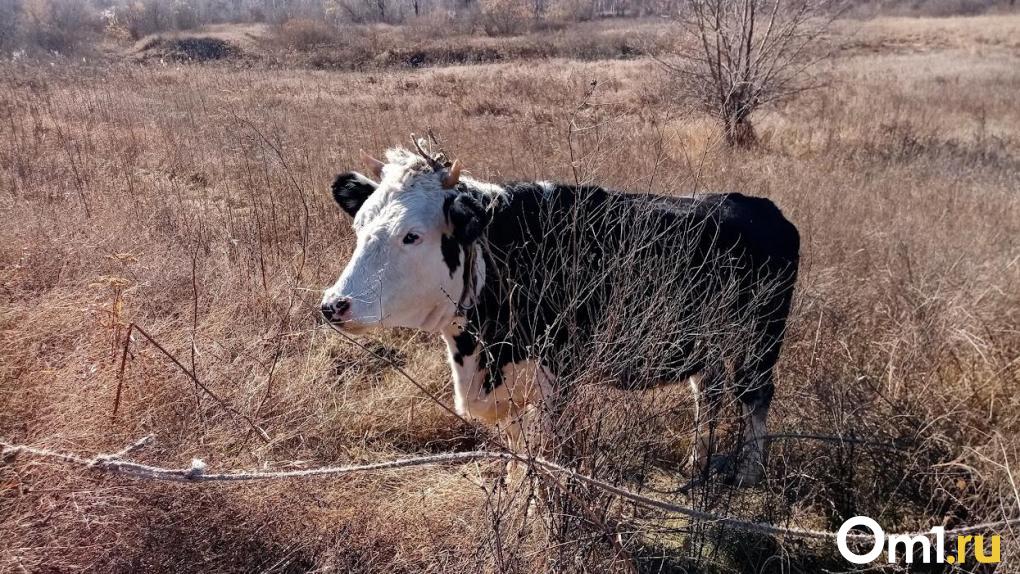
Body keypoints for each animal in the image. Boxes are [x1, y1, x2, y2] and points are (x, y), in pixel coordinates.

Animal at [322, 142, 799, 485]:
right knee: (708, 394)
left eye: (412, 236)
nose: (333, 304)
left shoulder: (557, 377)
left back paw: (749, 474)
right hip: (706, 344)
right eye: (359, 227)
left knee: (755, 397)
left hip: (761, 341)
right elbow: (519, 450)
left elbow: (546, 455)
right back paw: (696, 464)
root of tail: (760, 206)